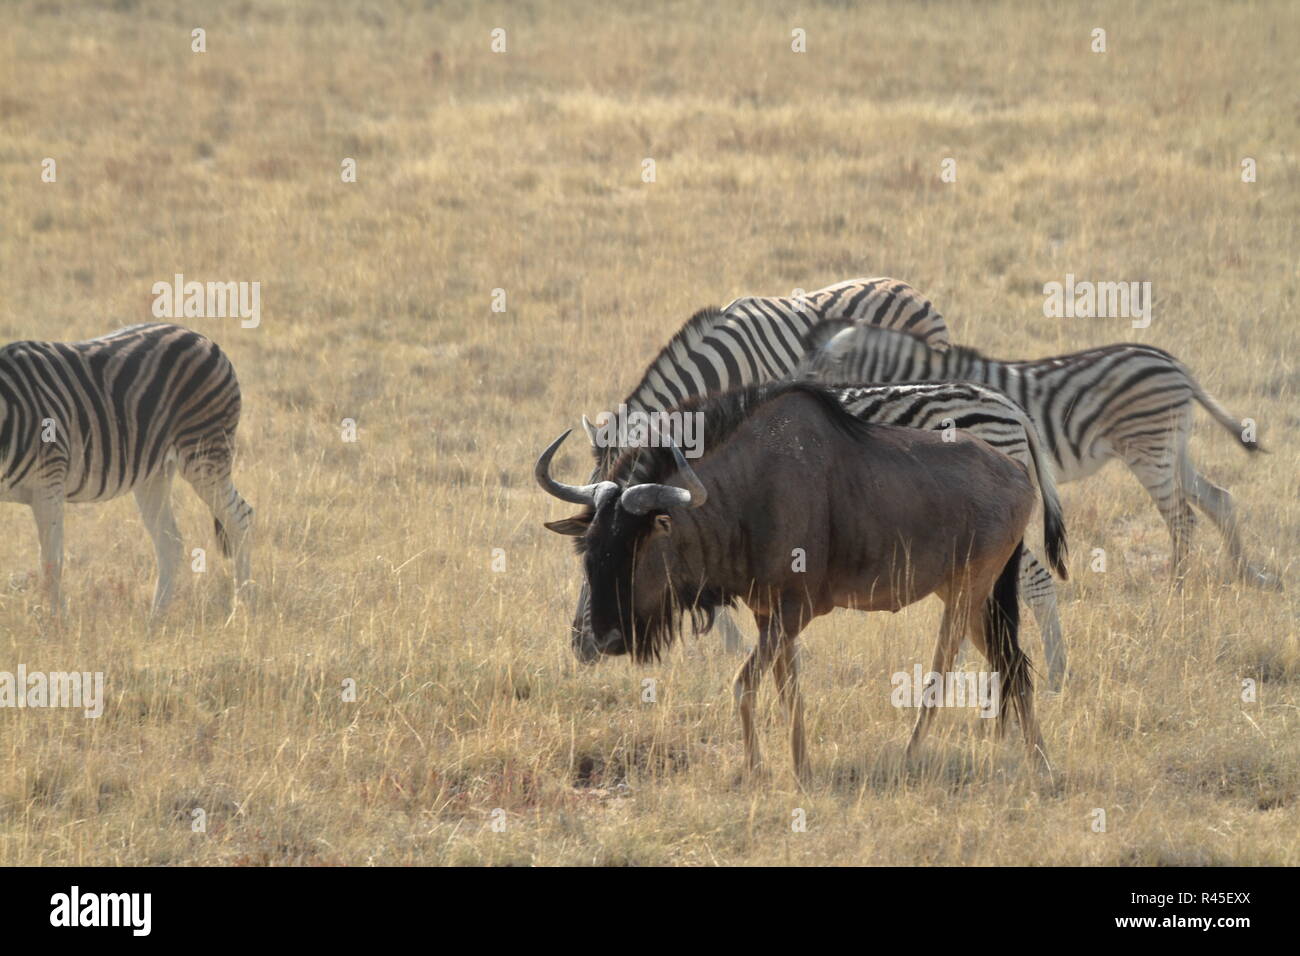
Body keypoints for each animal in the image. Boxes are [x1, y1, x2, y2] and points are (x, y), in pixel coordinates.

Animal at [0, 325, 256, 616]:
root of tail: (202, 337)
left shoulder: (48, 483)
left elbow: (51, 563)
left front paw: (59, 624)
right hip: (155, 472)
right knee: (171, 543)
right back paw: (155, 620)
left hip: (205, 452)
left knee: (240, 518)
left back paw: (241, 609)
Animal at [795, 321, 1274, 590]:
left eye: (814, 373)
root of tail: (1174, 364)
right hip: (1174, 446)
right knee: (1218, 498)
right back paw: (1246, 574)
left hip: (1148, 448)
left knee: (1182, 516)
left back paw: (1176, 585)